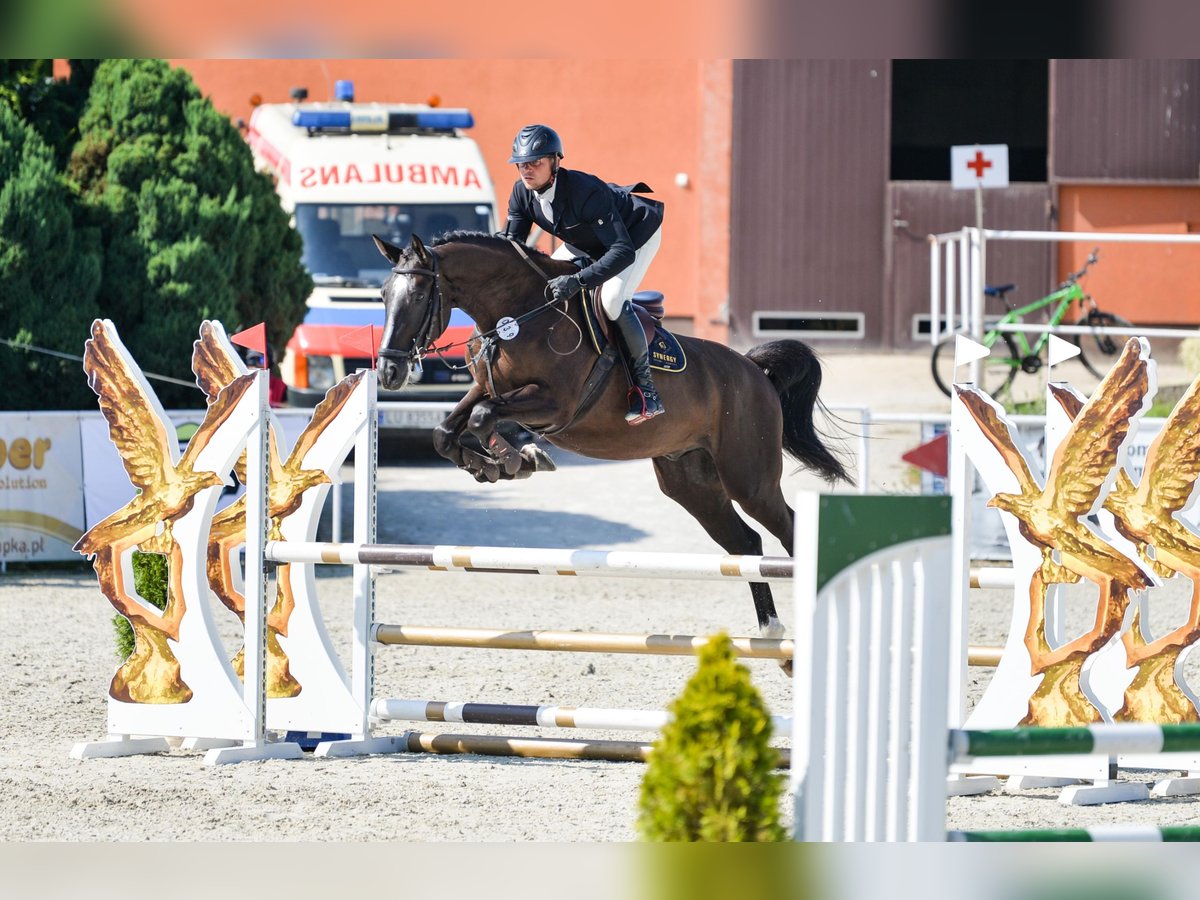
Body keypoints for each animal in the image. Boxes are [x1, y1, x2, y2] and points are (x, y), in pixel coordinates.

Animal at [374, 232, 854, 672]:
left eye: (418, 294)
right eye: (383, 294)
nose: (388, 372)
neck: (517, 316)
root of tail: (753, 368)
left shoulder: (555, 404)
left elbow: (481, 419)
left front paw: (517, 459)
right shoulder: (485, 388)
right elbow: (446, 431)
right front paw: (495, 465)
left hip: (748, 479)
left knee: (787, 529)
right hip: (692, 485)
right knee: (746, 542)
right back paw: (775, 638)